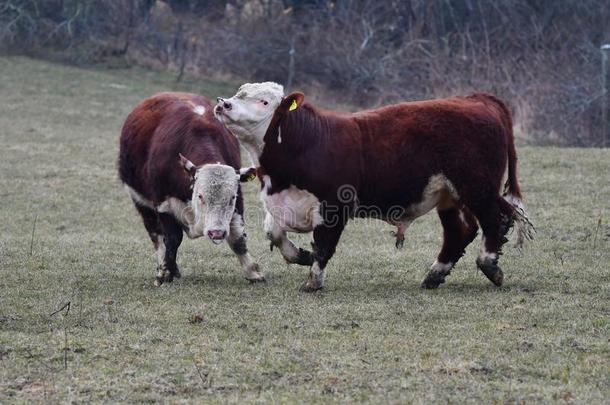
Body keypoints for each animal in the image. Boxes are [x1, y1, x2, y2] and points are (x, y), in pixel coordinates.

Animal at [117, 93, 262, 286]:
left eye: (231, 197)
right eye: (200, 196)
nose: (217, 233)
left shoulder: (238, 201)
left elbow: (238, 238)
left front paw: (253, 273)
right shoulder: (163, 203)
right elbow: (172, 239)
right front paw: (165, 274)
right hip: (141, 203)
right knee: (157, 236)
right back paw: (163, 267)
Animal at [213, 82, 532, 290]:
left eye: (264, 102)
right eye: (239, 93)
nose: (223, 103)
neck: (307, 142)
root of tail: (475, 99)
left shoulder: (335, 206)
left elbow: (324, 245)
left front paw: (313, 281)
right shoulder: (282, 203)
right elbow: (275, 233)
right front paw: (301, 255)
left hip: (478, 189)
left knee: (496, 218)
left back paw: (489, 266)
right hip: (449, 196)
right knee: (460, 231)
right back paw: (434, 275)